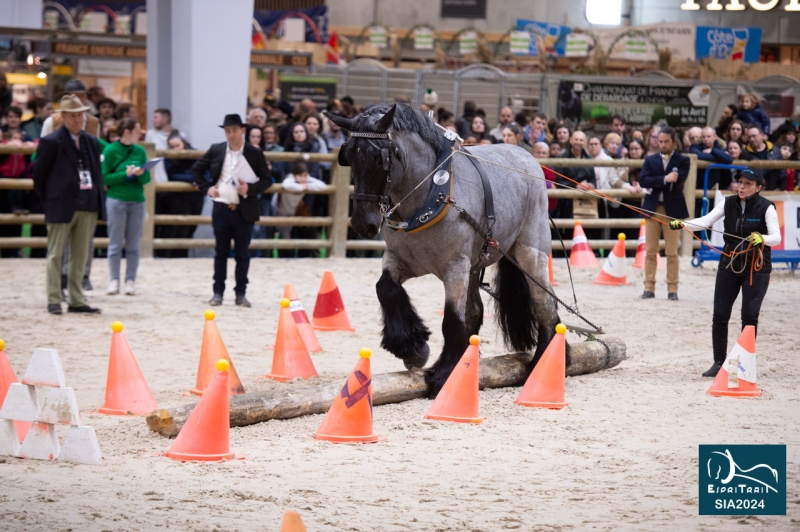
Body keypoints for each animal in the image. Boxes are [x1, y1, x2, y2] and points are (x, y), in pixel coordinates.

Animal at [326, 103, 568, 397]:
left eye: (380, 158)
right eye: (349, 156)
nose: (363, 223)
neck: (431, 195)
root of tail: (527, 157)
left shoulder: (455, 267)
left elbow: (452, 320)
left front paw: (443, 375)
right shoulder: (401, 260)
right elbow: (385, 288)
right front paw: (413, 348)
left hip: (530, 254)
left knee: (544, 303)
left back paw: (545, 361)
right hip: (477, 266)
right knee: (476, 310)